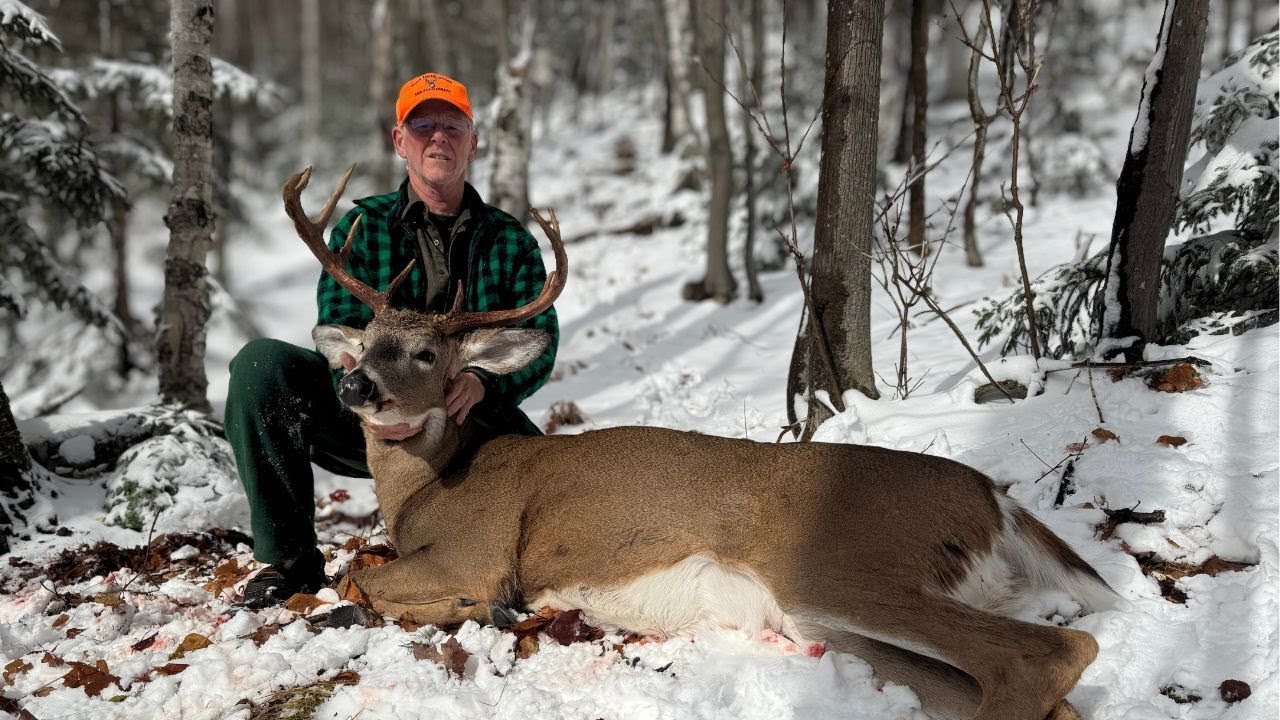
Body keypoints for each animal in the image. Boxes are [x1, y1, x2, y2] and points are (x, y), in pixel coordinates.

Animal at [282, 167, 1119, 720]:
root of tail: (994, 500)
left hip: (843, 566)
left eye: (427, 355)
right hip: (835, 620)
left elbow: (361, 579)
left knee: (1051, 656)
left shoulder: (478, 551)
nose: (355, 386)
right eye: (369, 343)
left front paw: (468, 611)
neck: (426, 488)